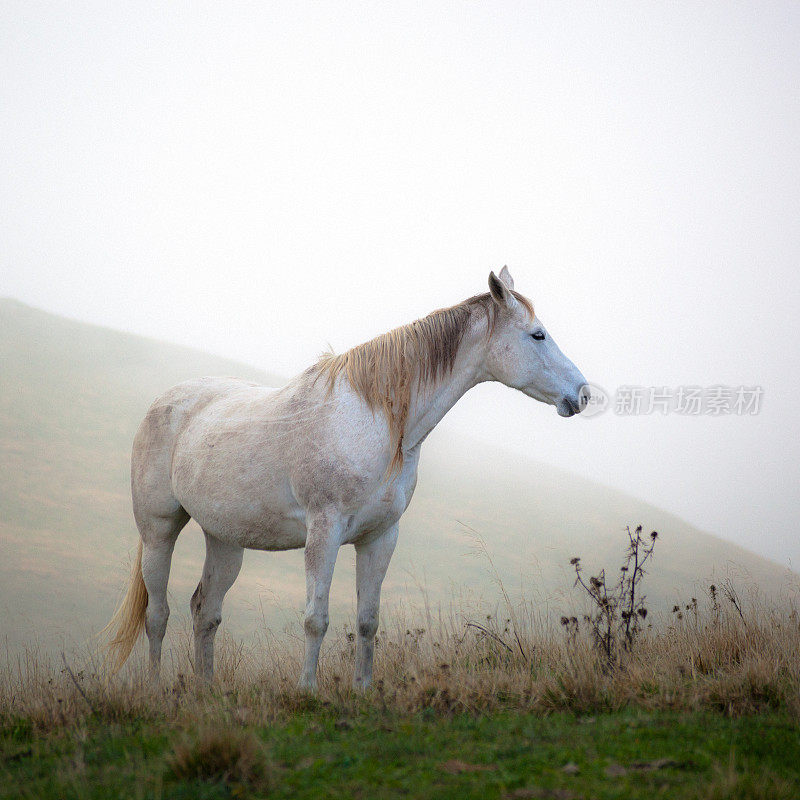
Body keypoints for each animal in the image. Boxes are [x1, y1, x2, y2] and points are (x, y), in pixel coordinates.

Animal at [106, 268, 588, 688]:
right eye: (537, 335)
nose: (582, 394)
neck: (377, 421)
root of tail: (166, 401)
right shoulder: (325, 530)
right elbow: (315, 619)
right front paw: (306, 690)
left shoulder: (380, 537)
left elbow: (367, 621)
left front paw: (362, 689)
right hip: (159, 531)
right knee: (158, 614)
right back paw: (156, 689)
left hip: (225, 539)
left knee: (205, 611)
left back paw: (206, 690)